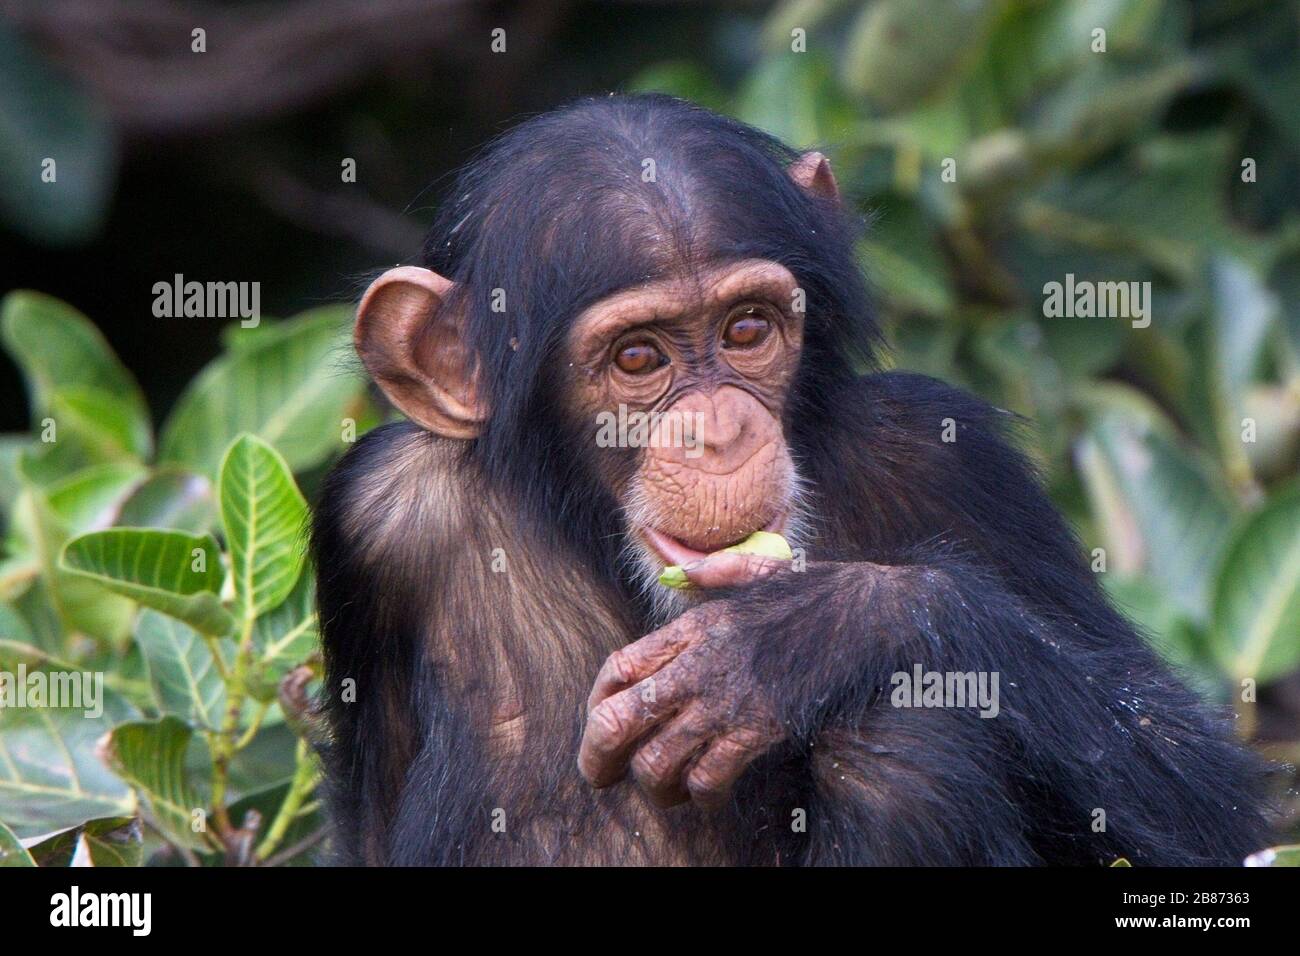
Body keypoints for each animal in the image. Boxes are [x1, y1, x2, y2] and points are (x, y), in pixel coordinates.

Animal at [312, 91, 1268, 868]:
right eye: (637, 358)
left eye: (747, 329)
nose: (721, 432)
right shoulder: (372, 514)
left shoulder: (947, 454)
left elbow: (1202, 793)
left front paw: (795, 637)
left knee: (904, 744)